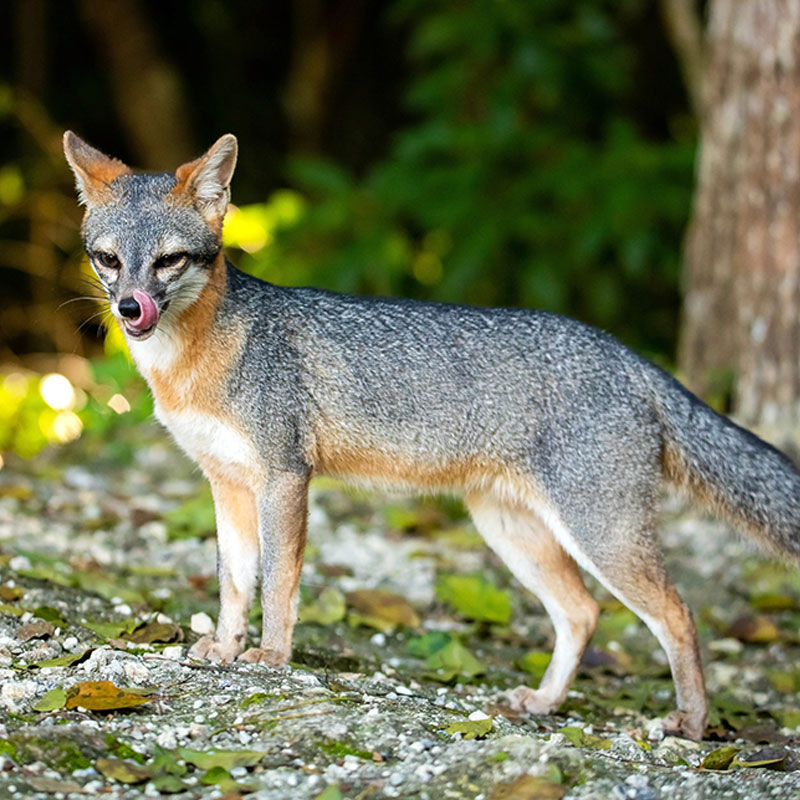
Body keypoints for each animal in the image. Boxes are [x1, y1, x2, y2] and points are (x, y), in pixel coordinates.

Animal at [63, 130, 800, 741]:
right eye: (107, 259)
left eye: (169, 261)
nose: (130, 309)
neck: (198, 360)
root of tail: (628, 356)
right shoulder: (227, 484)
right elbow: (234, 583)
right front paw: (225, 647)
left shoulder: (284, 477)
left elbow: (277, 584)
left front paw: (270, 657)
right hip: (511, 532)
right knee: (582, 614)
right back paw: (544, 702)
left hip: (601, 533)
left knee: (678, 614)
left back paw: (692, 723)